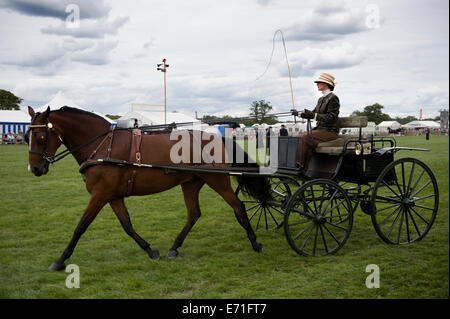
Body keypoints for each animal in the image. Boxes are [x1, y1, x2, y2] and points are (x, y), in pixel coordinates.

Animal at [26, 106, 270, 272]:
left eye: (41, 136)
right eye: (27, 136)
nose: (35, 168)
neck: (103, 146)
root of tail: (215, 137)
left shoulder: (99, 195)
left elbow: (80, 227)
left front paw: (60, 260)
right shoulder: (112, 196)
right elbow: (127, 225)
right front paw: (151, 250)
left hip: (217, 181)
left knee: (238, 207)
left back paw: (255, 243)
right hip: (191, 183)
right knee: (193, 214)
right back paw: (174, 247)